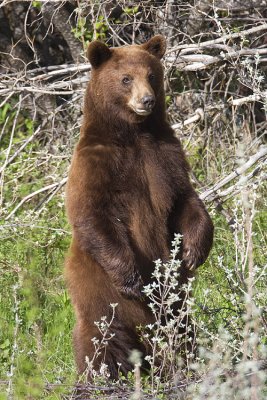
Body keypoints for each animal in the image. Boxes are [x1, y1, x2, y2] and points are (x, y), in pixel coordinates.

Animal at [66, 35, 215, 382]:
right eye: (125, 79)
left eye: (152, 75)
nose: (147, 100)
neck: (133, 134)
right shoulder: (96, 165)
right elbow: (91, 214)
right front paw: (132, 278)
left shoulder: (164, 157)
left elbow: (184, 200)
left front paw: (193, 250)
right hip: (98, 294)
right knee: (101, 340)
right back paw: (98, 379)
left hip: (175, 301)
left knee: (180, 328)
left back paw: (183, 366)